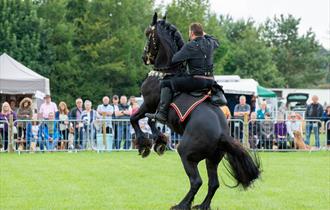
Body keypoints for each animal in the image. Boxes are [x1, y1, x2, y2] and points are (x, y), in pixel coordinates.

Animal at [130, 13, 260, 210]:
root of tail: (222, 133)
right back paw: (202, 205)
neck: (166, 72)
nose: (145, 57)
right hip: (212, 159)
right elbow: (152, 121)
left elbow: (135, 118)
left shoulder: (148, 104)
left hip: (186, 153)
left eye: (148, 33)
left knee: (196, 181)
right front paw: (159, 141)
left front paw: (144, 144)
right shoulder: (154, 109)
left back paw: (182, 204)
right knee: (213, 183)